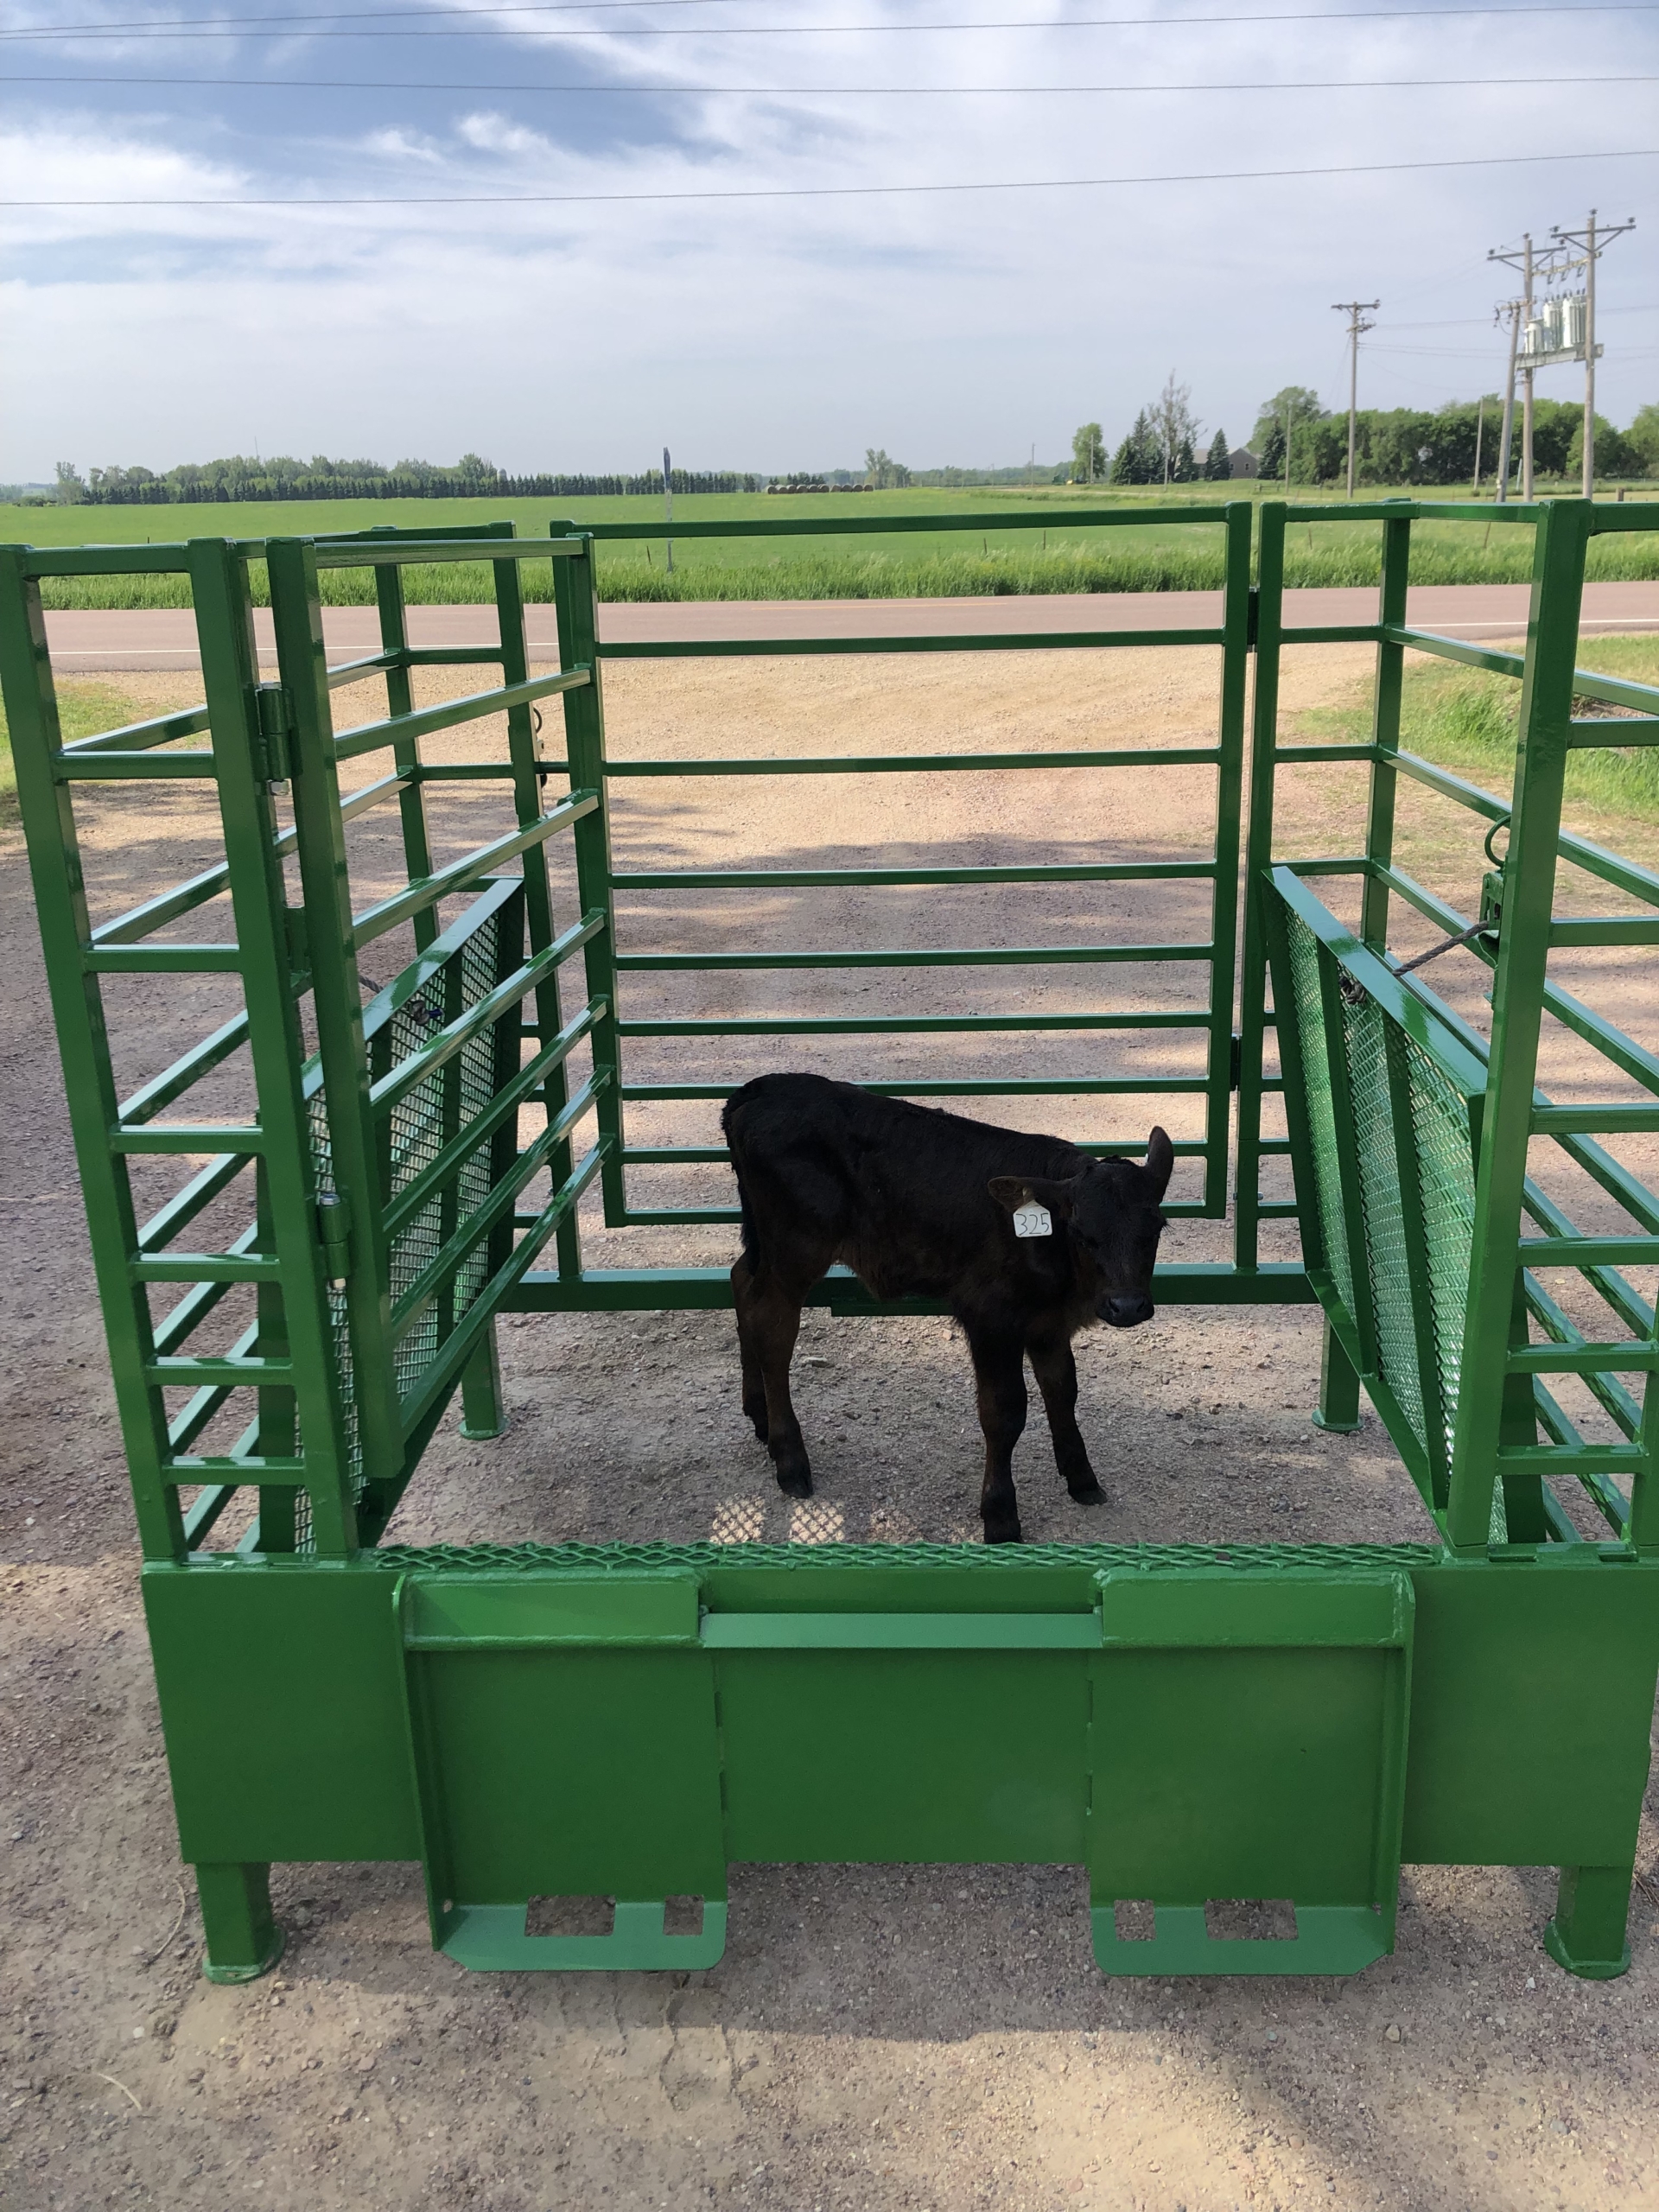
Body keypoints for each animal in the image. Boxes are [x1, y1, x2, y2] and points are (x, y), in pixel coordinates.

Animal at [721, 1071, 1176, 1539]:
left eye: (1156, 1228)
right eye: (1082, 1233)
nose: (1127, 1305)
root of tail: (765, 1087)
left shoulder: (1048, 1323)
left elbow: (1063, 1390)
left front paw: (1082, 1478)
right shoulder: (991, 1318)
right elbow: (1004, 1412)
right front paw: (1000, 1515)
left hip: (768, 1248)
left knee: (742, 1285)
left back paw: (759, 1415)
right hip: (796, 1250)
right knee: (772, 1327)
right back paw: (790, 1460)